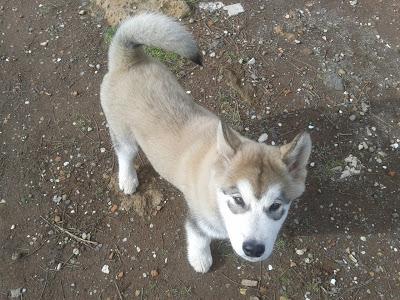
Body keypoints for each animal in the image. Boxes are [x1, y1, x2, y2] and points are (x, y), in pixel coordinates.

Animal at [101, 12, 312, 274]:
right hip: (122, 132)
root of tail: (128, 60)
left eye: (275, 206)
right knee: (125, 154)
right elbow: (199, 237)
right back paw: (127, 179)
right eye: (238, 199)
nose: (253, 249)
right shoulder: (198, 219)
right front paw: (200, 259)